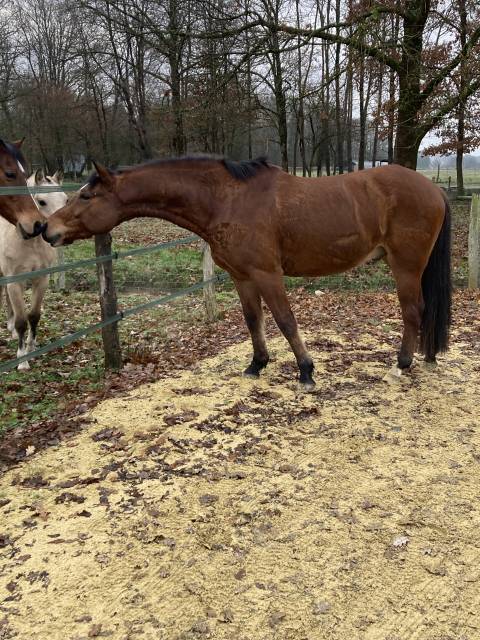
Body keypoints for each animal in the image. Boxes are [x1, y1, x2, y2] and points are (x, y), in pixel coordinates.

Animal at [0, 169, 67, 370]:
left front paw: (32, 348)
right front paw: (22, 360)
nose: (60, 232)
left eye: (66, 200)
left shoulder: (41, 280)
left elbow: (34, 316)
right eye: (42, 201)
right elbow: (22, 321)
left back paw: (12, 330)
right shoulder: (14, 281)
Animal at [42, 156, 451, 389]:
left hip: (405, 266)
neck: (228, 199)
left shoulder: (268, 274)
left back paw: (402, 365)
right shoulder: (242, 277)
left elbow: (285, 320)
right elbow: (253, 320)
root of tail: (434, 189)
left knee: (413, 311)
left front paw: (306, 372)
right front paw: (257, 365)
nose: (47, 229)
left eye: (86, 196)